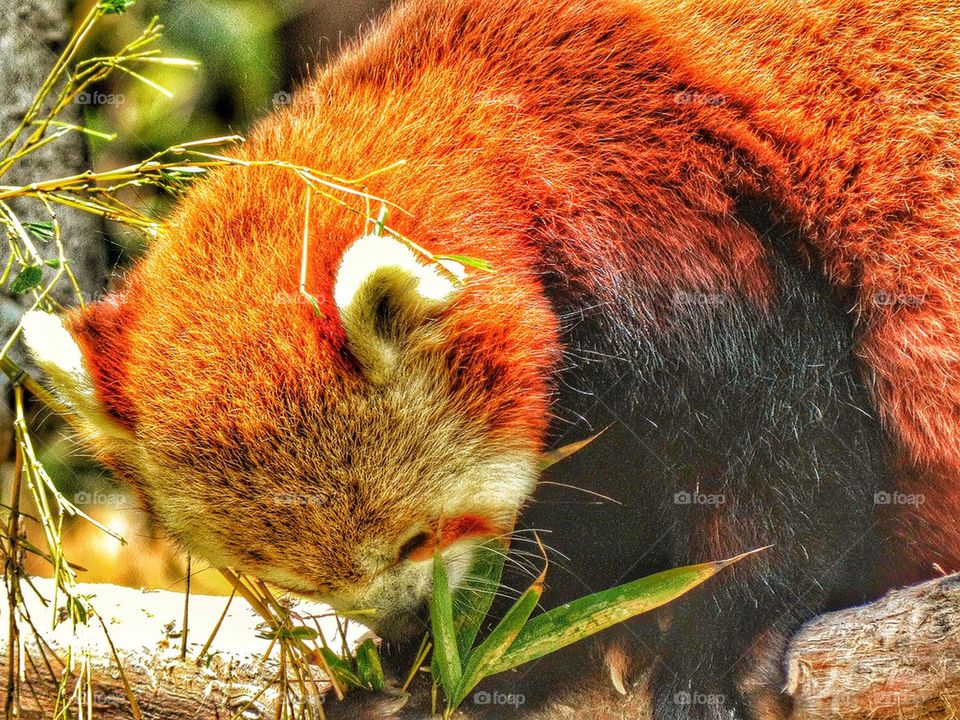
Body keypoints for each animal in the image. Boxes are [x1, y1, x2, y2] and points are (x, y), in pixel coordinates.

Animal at [22, 0, 959, 717]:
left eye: (415, 538)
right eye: (294, 579)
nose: (407, 626)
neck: (483, 102)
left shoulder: (672, 222)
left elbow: (788, 459)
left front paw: (714, 650)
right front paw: (439, 667)